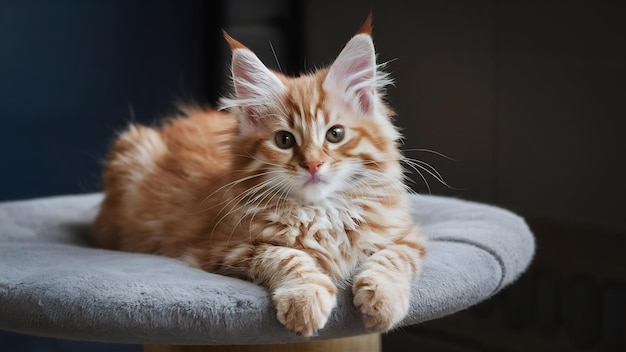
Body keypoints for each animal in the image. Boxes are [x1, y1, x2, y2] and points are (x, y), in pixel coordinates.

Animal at [90, 15, 426, 336]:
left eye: (335, 134)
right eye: (284, 140)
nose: (313, 164)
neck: (322, 212)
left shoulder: (407, 235)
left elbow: (392, 258)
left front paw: (385, 299)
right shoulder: (226, 248)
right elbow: (288, 256)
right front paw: (305, 299)